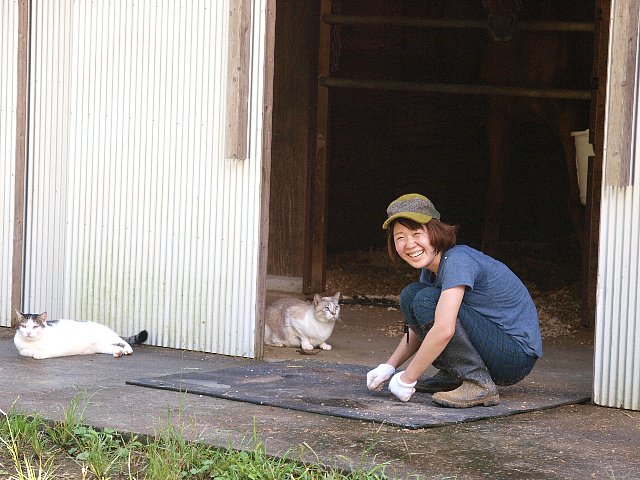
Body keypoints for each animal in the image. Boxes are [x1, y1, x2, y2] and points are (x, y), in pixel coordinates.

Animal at [13, 312, 148, 360]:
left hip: (109, 338)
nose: (28, 333)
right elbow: (26, 351)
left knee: (124, 341)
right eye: (24, 326)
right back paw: (119, 352)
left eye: (35, 327)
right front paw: (34, 352)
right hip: (102, 347)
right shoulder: (22, 350)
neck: (34, 342)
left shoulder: (59, 348)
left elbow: (46, 351)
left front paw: (39, 354)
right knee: (116, 347)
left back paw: (128, 350)